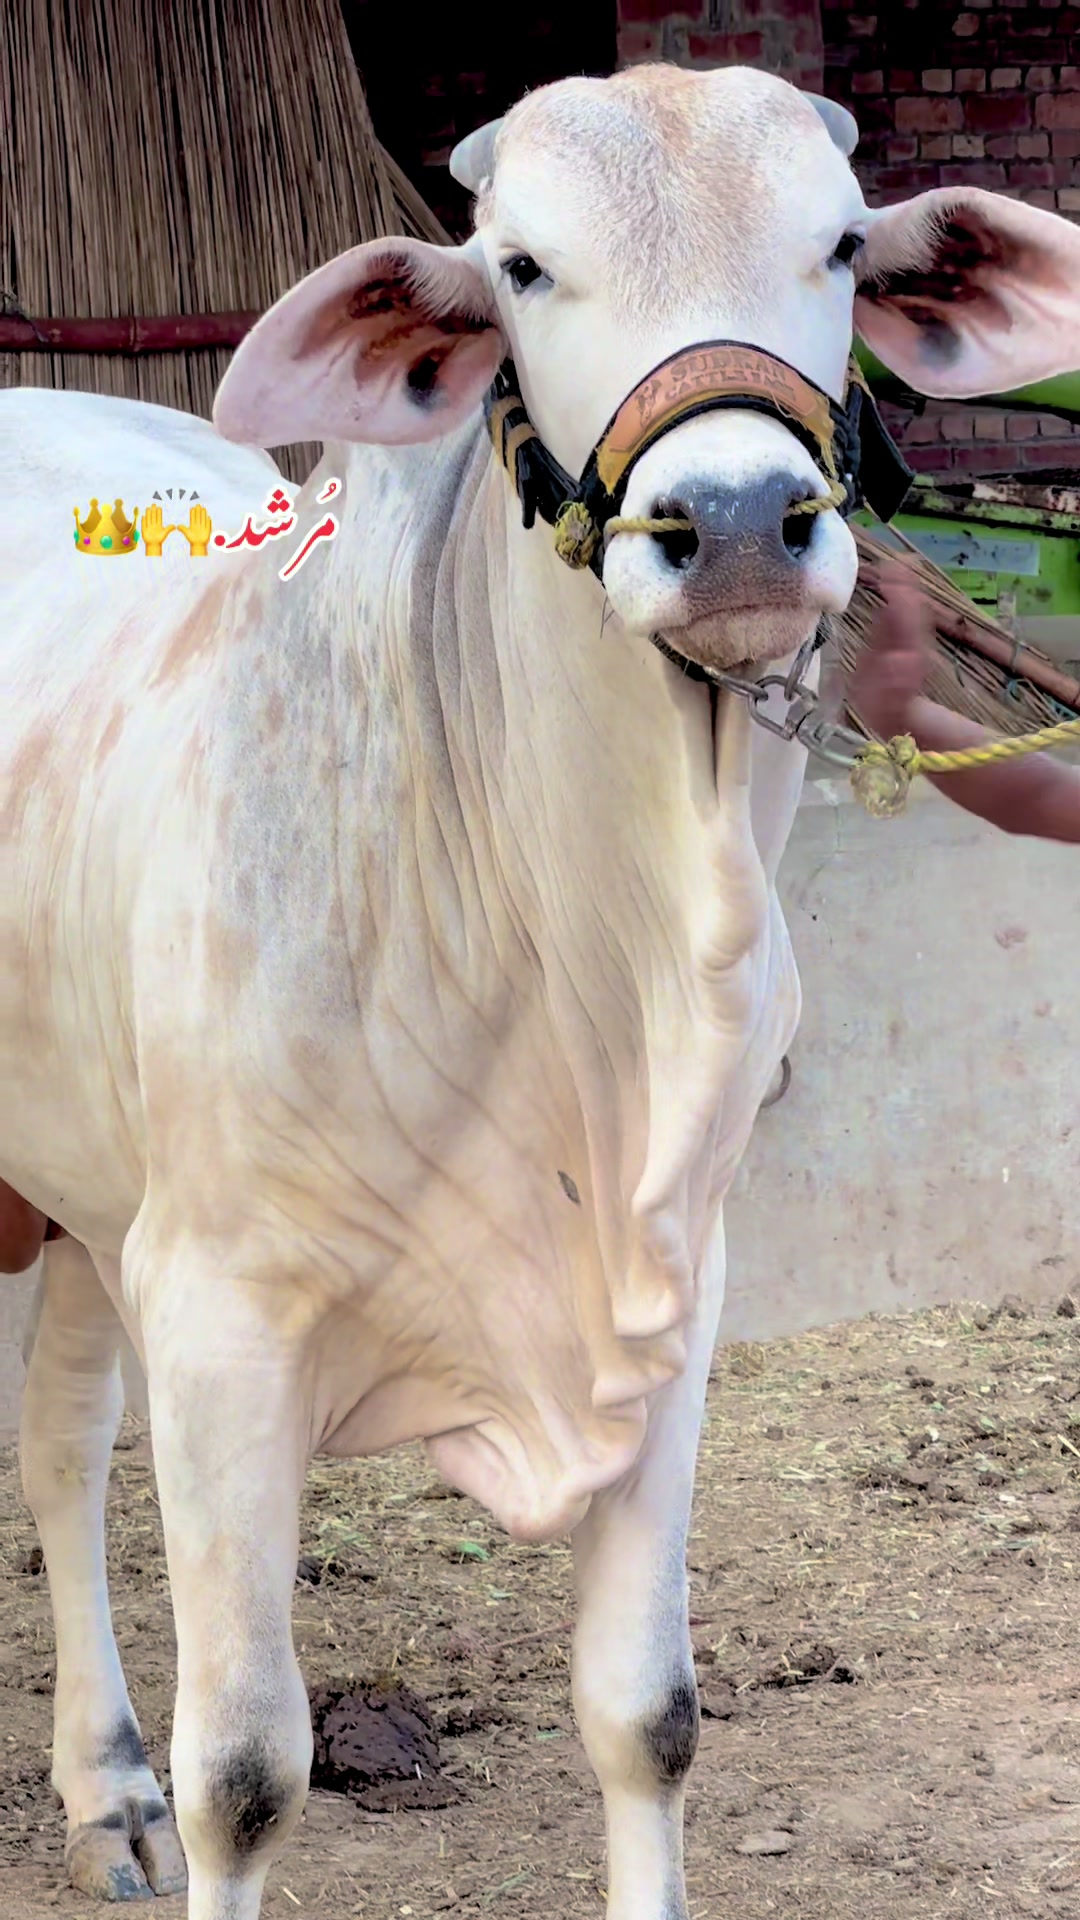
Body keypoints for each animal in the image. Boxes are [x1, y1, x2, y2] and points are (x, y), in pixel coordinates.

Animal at [4, 59, 1080, 1920]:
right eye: (518, 264)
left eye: (843, 242)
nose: (741, 523)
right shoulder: (222, 1314)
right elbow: (248, 1775)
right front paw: (201, 1789)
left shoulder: (675, 1294)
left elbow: (646, 1717)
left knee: (67, 1426)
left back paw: (103, 1783)